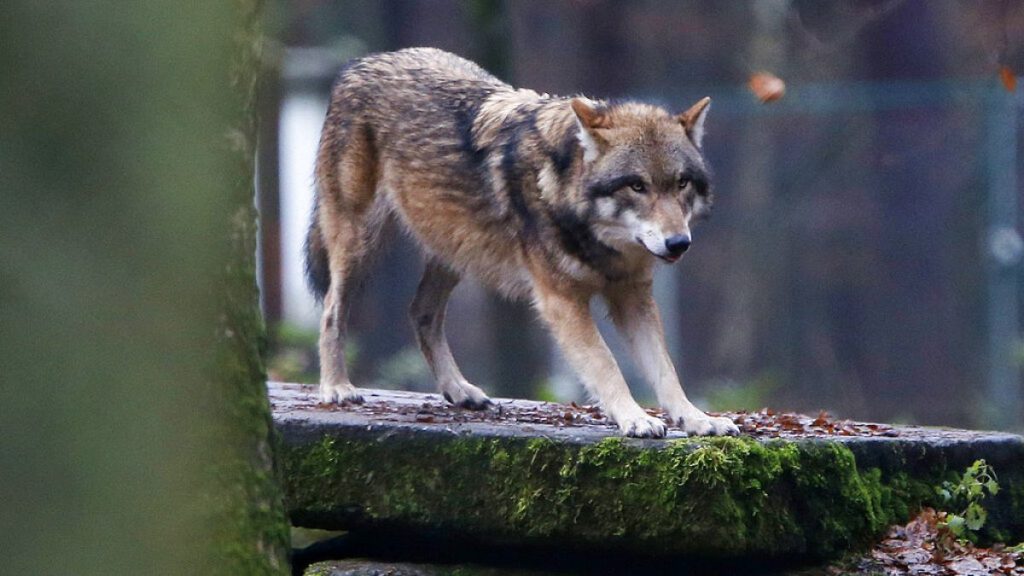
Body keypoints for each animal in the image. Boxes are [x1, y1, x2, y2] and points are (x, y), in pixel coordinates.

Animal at [305, 47, 738, 438]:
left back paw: (459, 390)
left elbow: (666, 370)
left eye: (681, 183)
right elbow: (606, 364)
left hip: (455, 250)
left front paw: (697, 419)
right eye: (637, 186)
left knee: (420, 313)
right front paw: (635, 418)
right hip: (360, 244)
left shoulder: (633, 297)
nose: (678, 243)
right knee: (331, 311)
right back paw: (337, 387)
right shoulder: (561, 301)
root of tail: (362, 63)